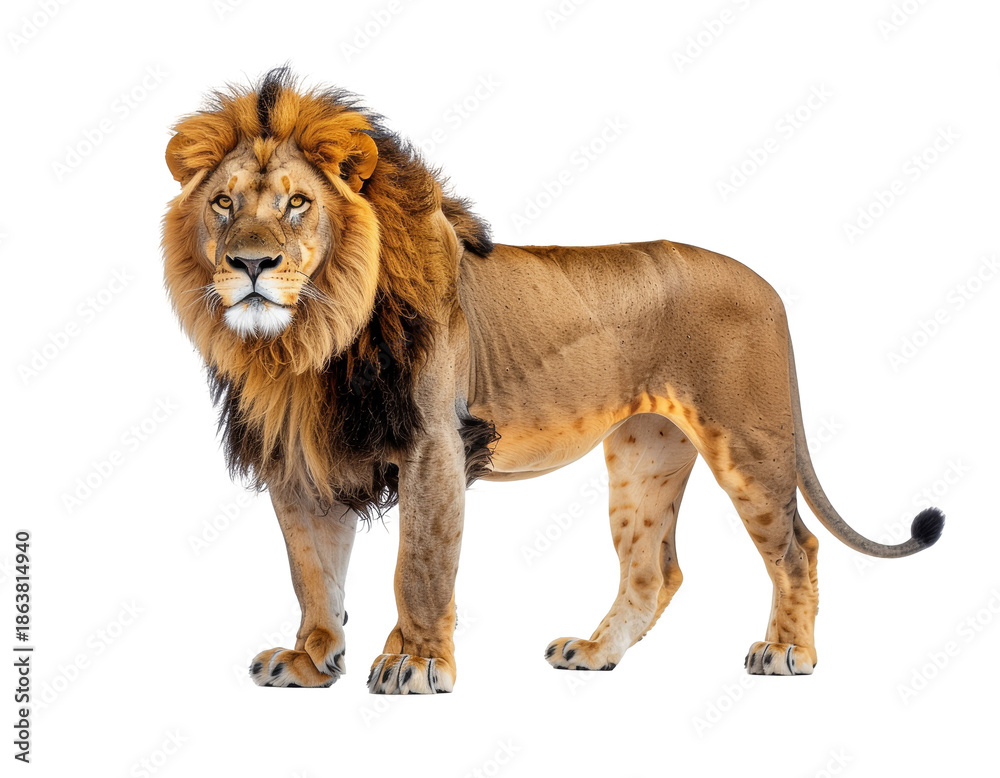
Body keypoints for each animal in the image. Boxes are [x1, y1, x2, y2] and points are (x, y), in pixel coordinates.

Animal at [162, 68, 944, 693]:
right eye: (224, 203)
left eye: (297, 203)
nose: (251, 264)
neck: (306, 344)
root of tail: (768, 285)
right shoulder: (299, 457)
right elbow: (312, 570)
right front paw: (310, 660)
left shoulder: (434, 443)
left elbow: (419, 565)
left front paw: (417, 662)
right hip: (644, 455)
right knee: (655, 569)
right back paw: (595, 652)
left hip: (748, 444)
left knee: (795, 548)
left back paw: (787, 653)